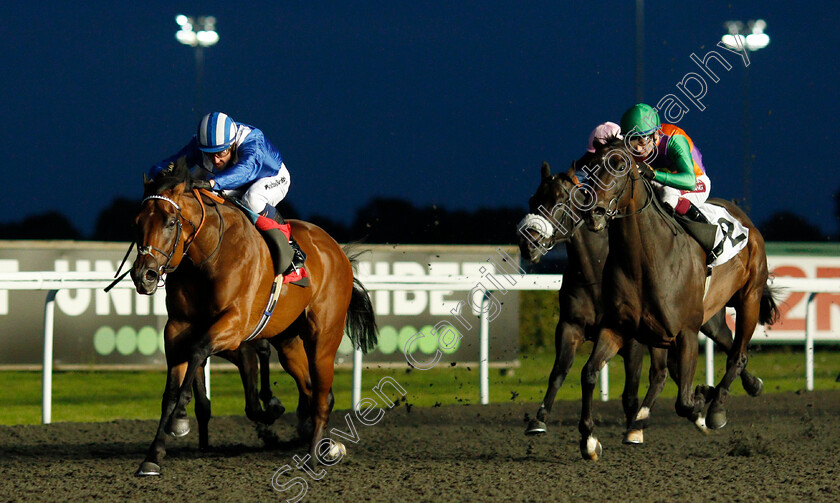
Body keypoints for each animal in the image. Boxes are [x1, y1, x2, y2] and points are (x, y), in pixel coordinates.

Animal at [129, 162, 378, 476]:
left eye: (171, 222)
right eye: (138, 222)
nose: (144, 275)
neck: (208, 255)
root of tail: (337, 251)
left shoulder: (235, 324)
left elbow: (198, 351)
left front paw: (180, 417)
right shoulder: (177, 327)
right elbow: (170, 391)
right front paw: (153, 455)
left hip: (323, 337)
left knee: (323, 396)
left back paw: (312, 456)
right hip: (288, 342)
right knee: (311, 388)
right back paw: (323, 445)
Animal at [520, 163, 760, 442]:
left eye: (560, 202)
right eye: (533, 200)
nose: (527, 242)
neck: (595, 270)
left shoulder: (634, 339)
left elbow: (631, 392)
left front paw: (633, 426)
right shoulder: (571, 325)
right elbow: (559, 371)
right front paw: (539, 419)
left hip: (710, 319)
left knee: (730, 346)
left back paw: (742, 388)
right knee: (676, 367)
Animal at [576, 139, 780, 460]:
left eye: (621, 165)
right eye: (591, 166)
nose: (593, 213)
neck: (645, 260)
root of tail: (743, 218)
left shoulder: (686, 332)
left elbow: (683, 403)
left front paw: (702, 399)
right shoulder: (617, 327)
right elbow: (589, 373)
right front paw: (589, 440)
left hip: (749, 297)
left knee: (737, 354)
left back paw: (716, 407)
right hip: (704, 320)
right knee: (702, 356)